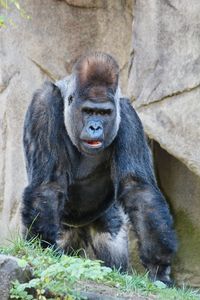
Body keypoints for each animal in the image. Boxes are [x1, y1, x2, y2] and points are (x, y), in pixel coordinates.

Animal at [21, 52, 177, 286]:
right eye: (88, 111)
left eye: (104, 113)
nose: (95, 127)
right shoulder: (43, 104)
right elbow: (48, 184)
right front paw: (43, 247)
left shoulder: (128, 116)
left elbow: (138, 189)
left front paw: (159, 265)